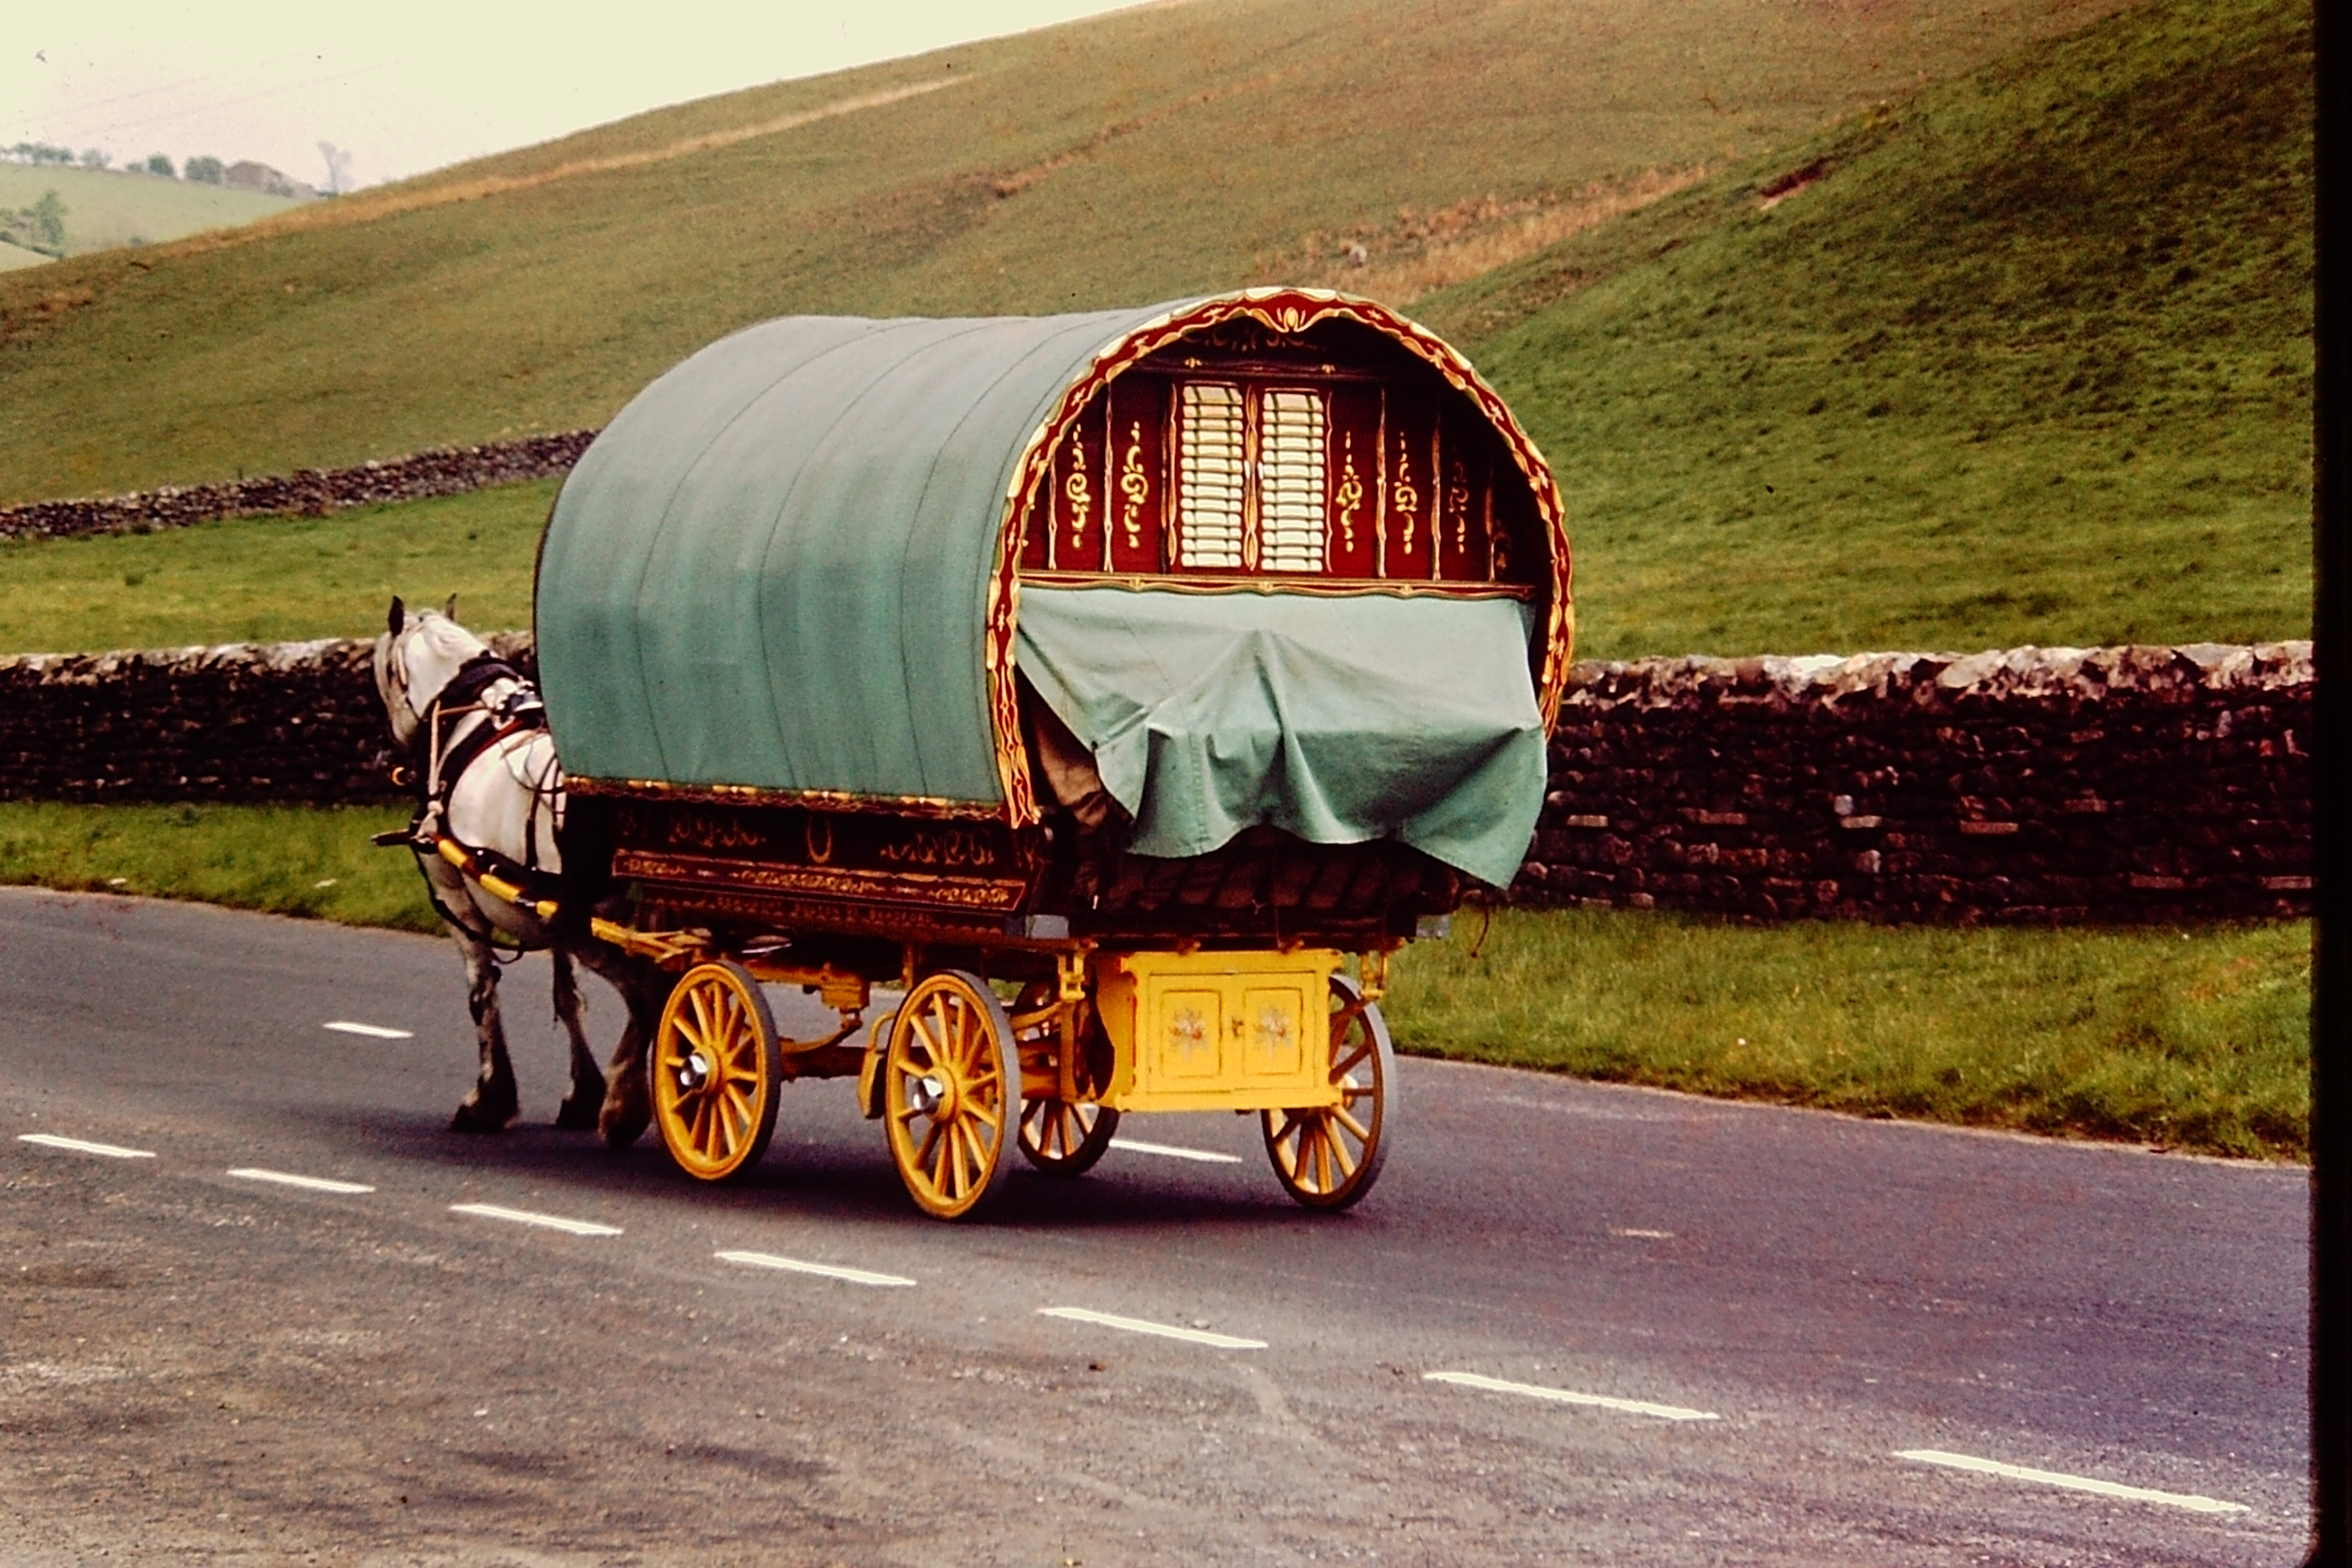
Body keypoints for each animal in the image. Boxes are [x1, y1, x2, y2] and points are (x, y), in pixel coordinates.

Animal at [371, 597, 664, 1142]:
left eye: (381, 673)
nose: (387, 752)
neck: (466, 722)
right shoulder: (544, 911)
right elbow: (567, 996)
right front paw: (581, 1094)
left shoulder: (456, 900)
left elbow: (482, 993)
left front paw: (490, 1099)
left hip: (597, 925)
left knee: (649, 993)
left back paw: (624, 1104)